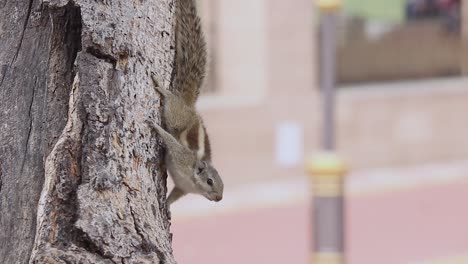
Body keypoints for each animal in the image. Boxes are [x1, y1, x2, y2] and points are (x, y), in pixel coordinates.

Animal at [149, 0, 224, 205]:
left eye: (223, 186)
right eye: (209, 181)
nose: (219, 198)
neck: (192, 183)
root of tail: (189, 105)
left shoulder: (182, 189)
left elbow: (174, 196)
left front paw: (166, 206)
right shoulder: (183, 158)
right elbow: (172, 144)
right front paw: (156, 129)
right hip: (176, 116)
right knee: (171, 104)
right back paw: (163, 89)